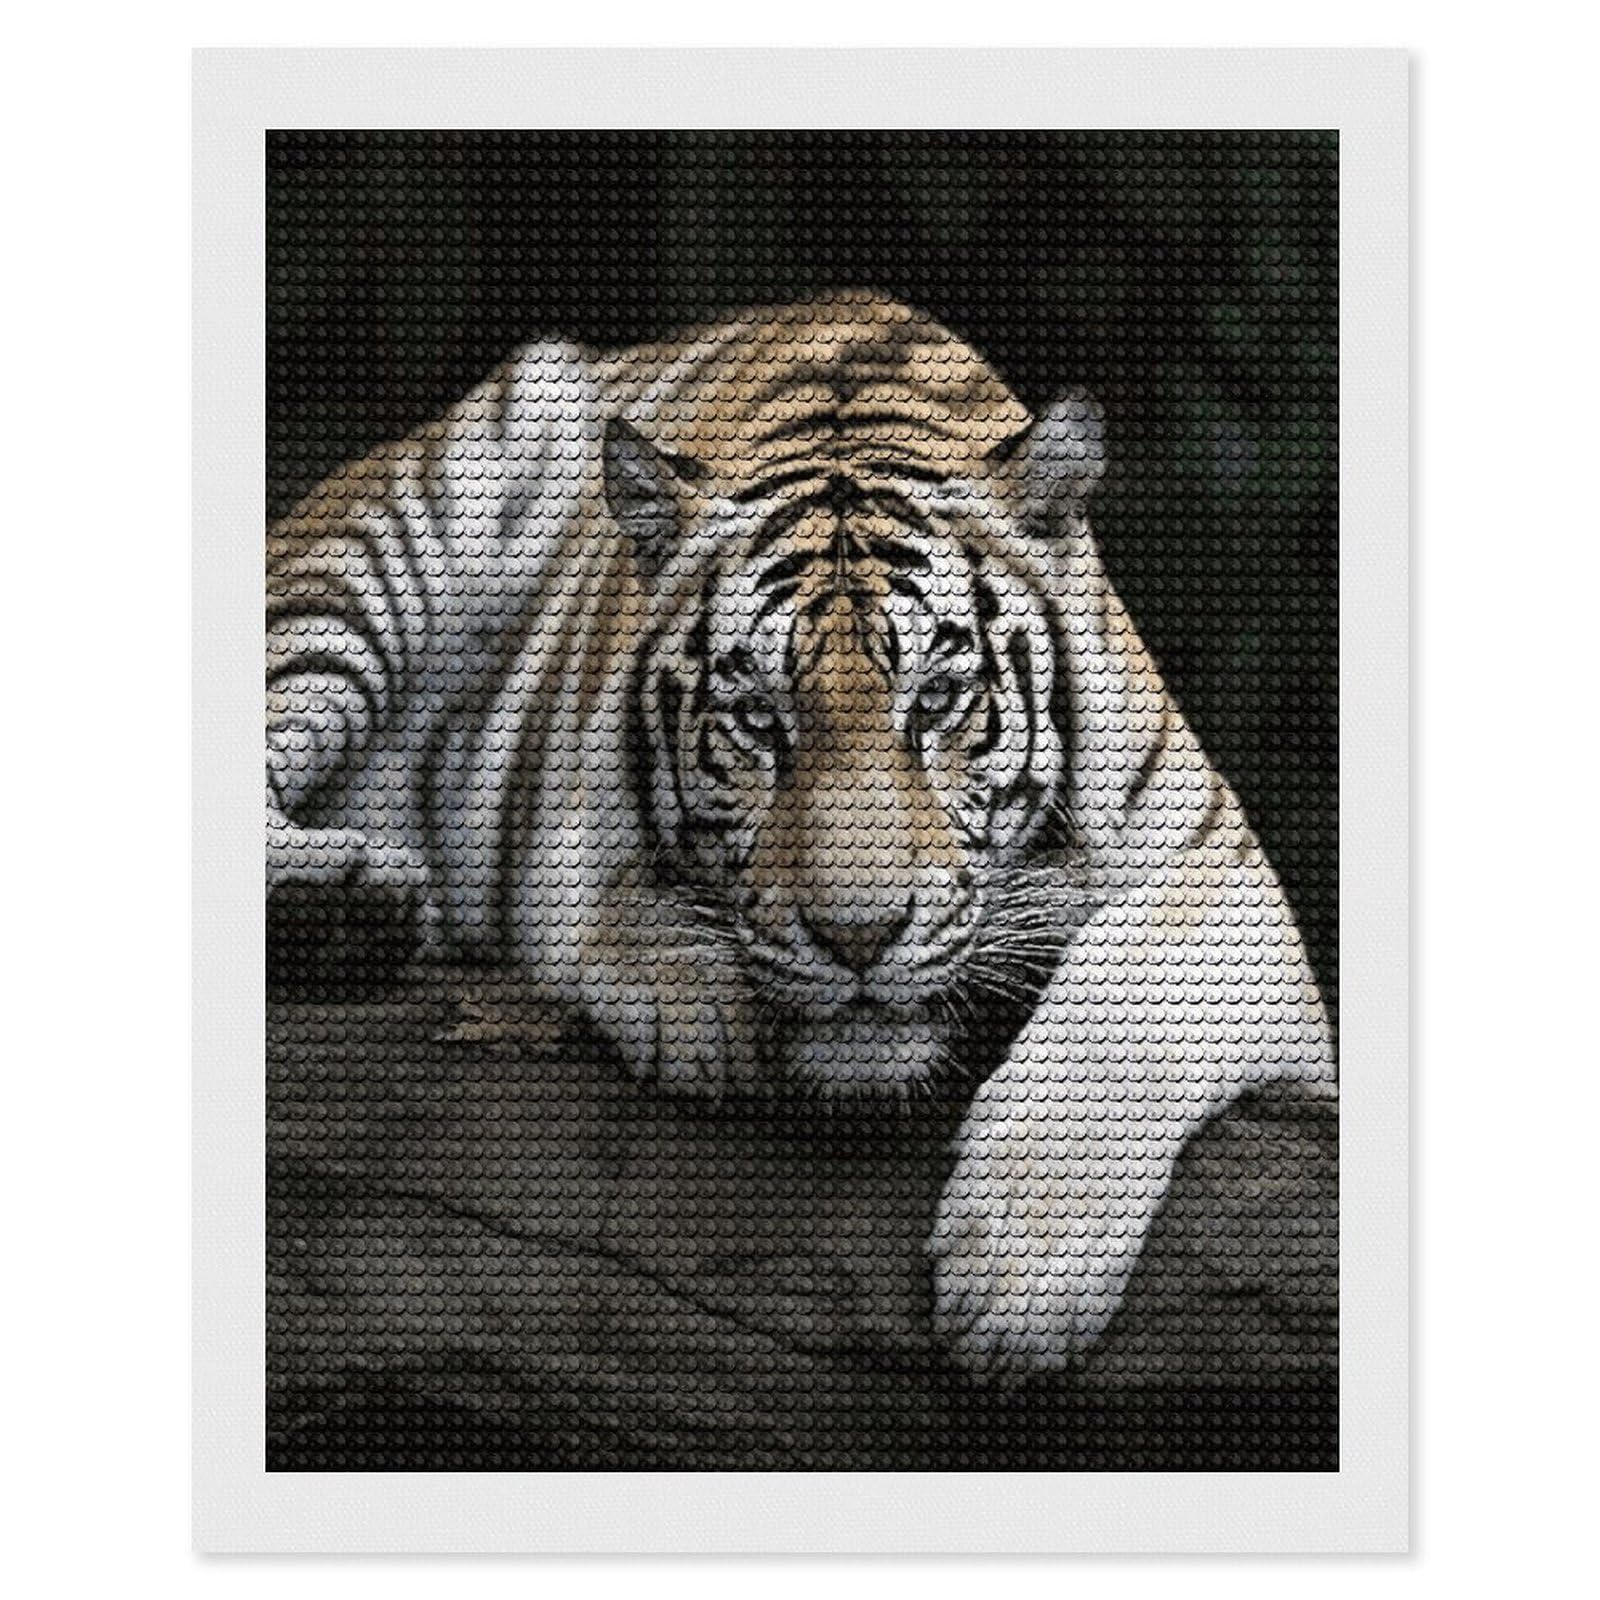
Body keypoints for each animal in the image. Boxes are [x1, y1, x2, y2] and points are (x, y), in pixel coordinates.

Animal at [267, 292, 1335, 1373]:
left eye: (937, 700)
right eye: (757, 718)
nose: (857, 940)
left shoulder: (1225, 881)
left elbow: (1126, 1000)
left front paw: (1021, 1279)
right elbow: (596, 900)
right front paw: (694, 999)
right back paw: (338, 899)